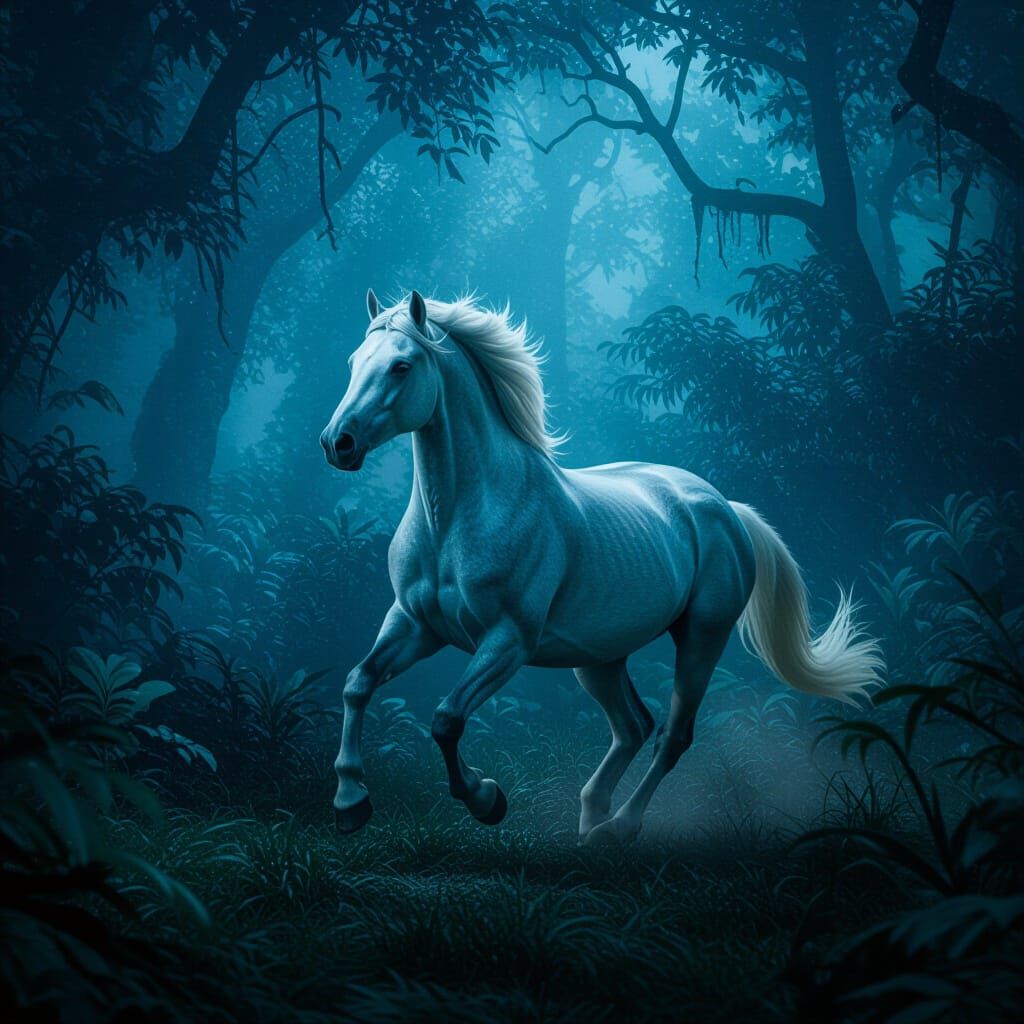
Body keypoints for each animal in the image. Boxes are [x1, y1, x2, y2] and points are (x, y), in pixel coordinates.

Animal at [319, 290, 883, 844]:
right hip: (599, 657)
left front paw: (486, 799)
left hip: (703, 635)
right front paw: (350, 801)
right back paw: (590, 828)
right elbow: (358, 682)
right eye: (351, 362)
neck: (457, 519)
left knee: (672, 734)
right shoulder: (414, 623)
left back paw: (619, 829)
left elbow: (446, 719)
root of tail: (727, 508)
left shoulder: (507, 640)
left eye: (401, 366)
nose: (337, 443)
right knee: (633, 726)